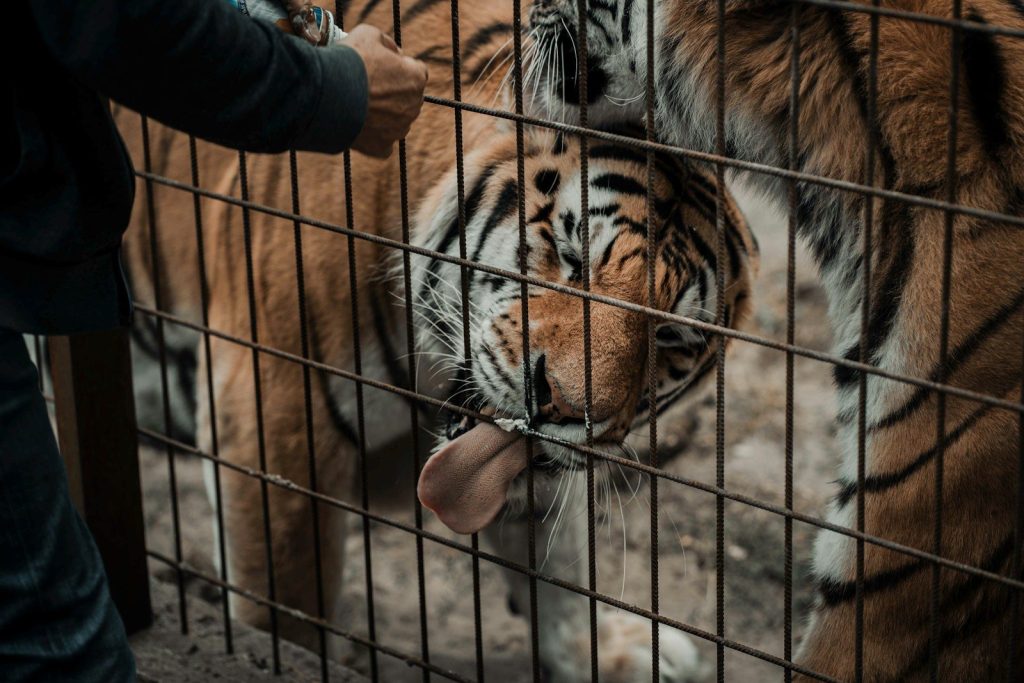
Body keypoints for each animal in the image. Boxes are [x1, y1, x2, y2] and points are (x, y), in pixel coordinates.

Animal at [117, 0, 759, 680]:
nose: (559, 403)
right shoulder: (275, 414)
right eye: (571, 255)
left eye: (669, 337)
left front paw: (608, 654)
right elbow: (291, 609)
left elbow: (557, 561)